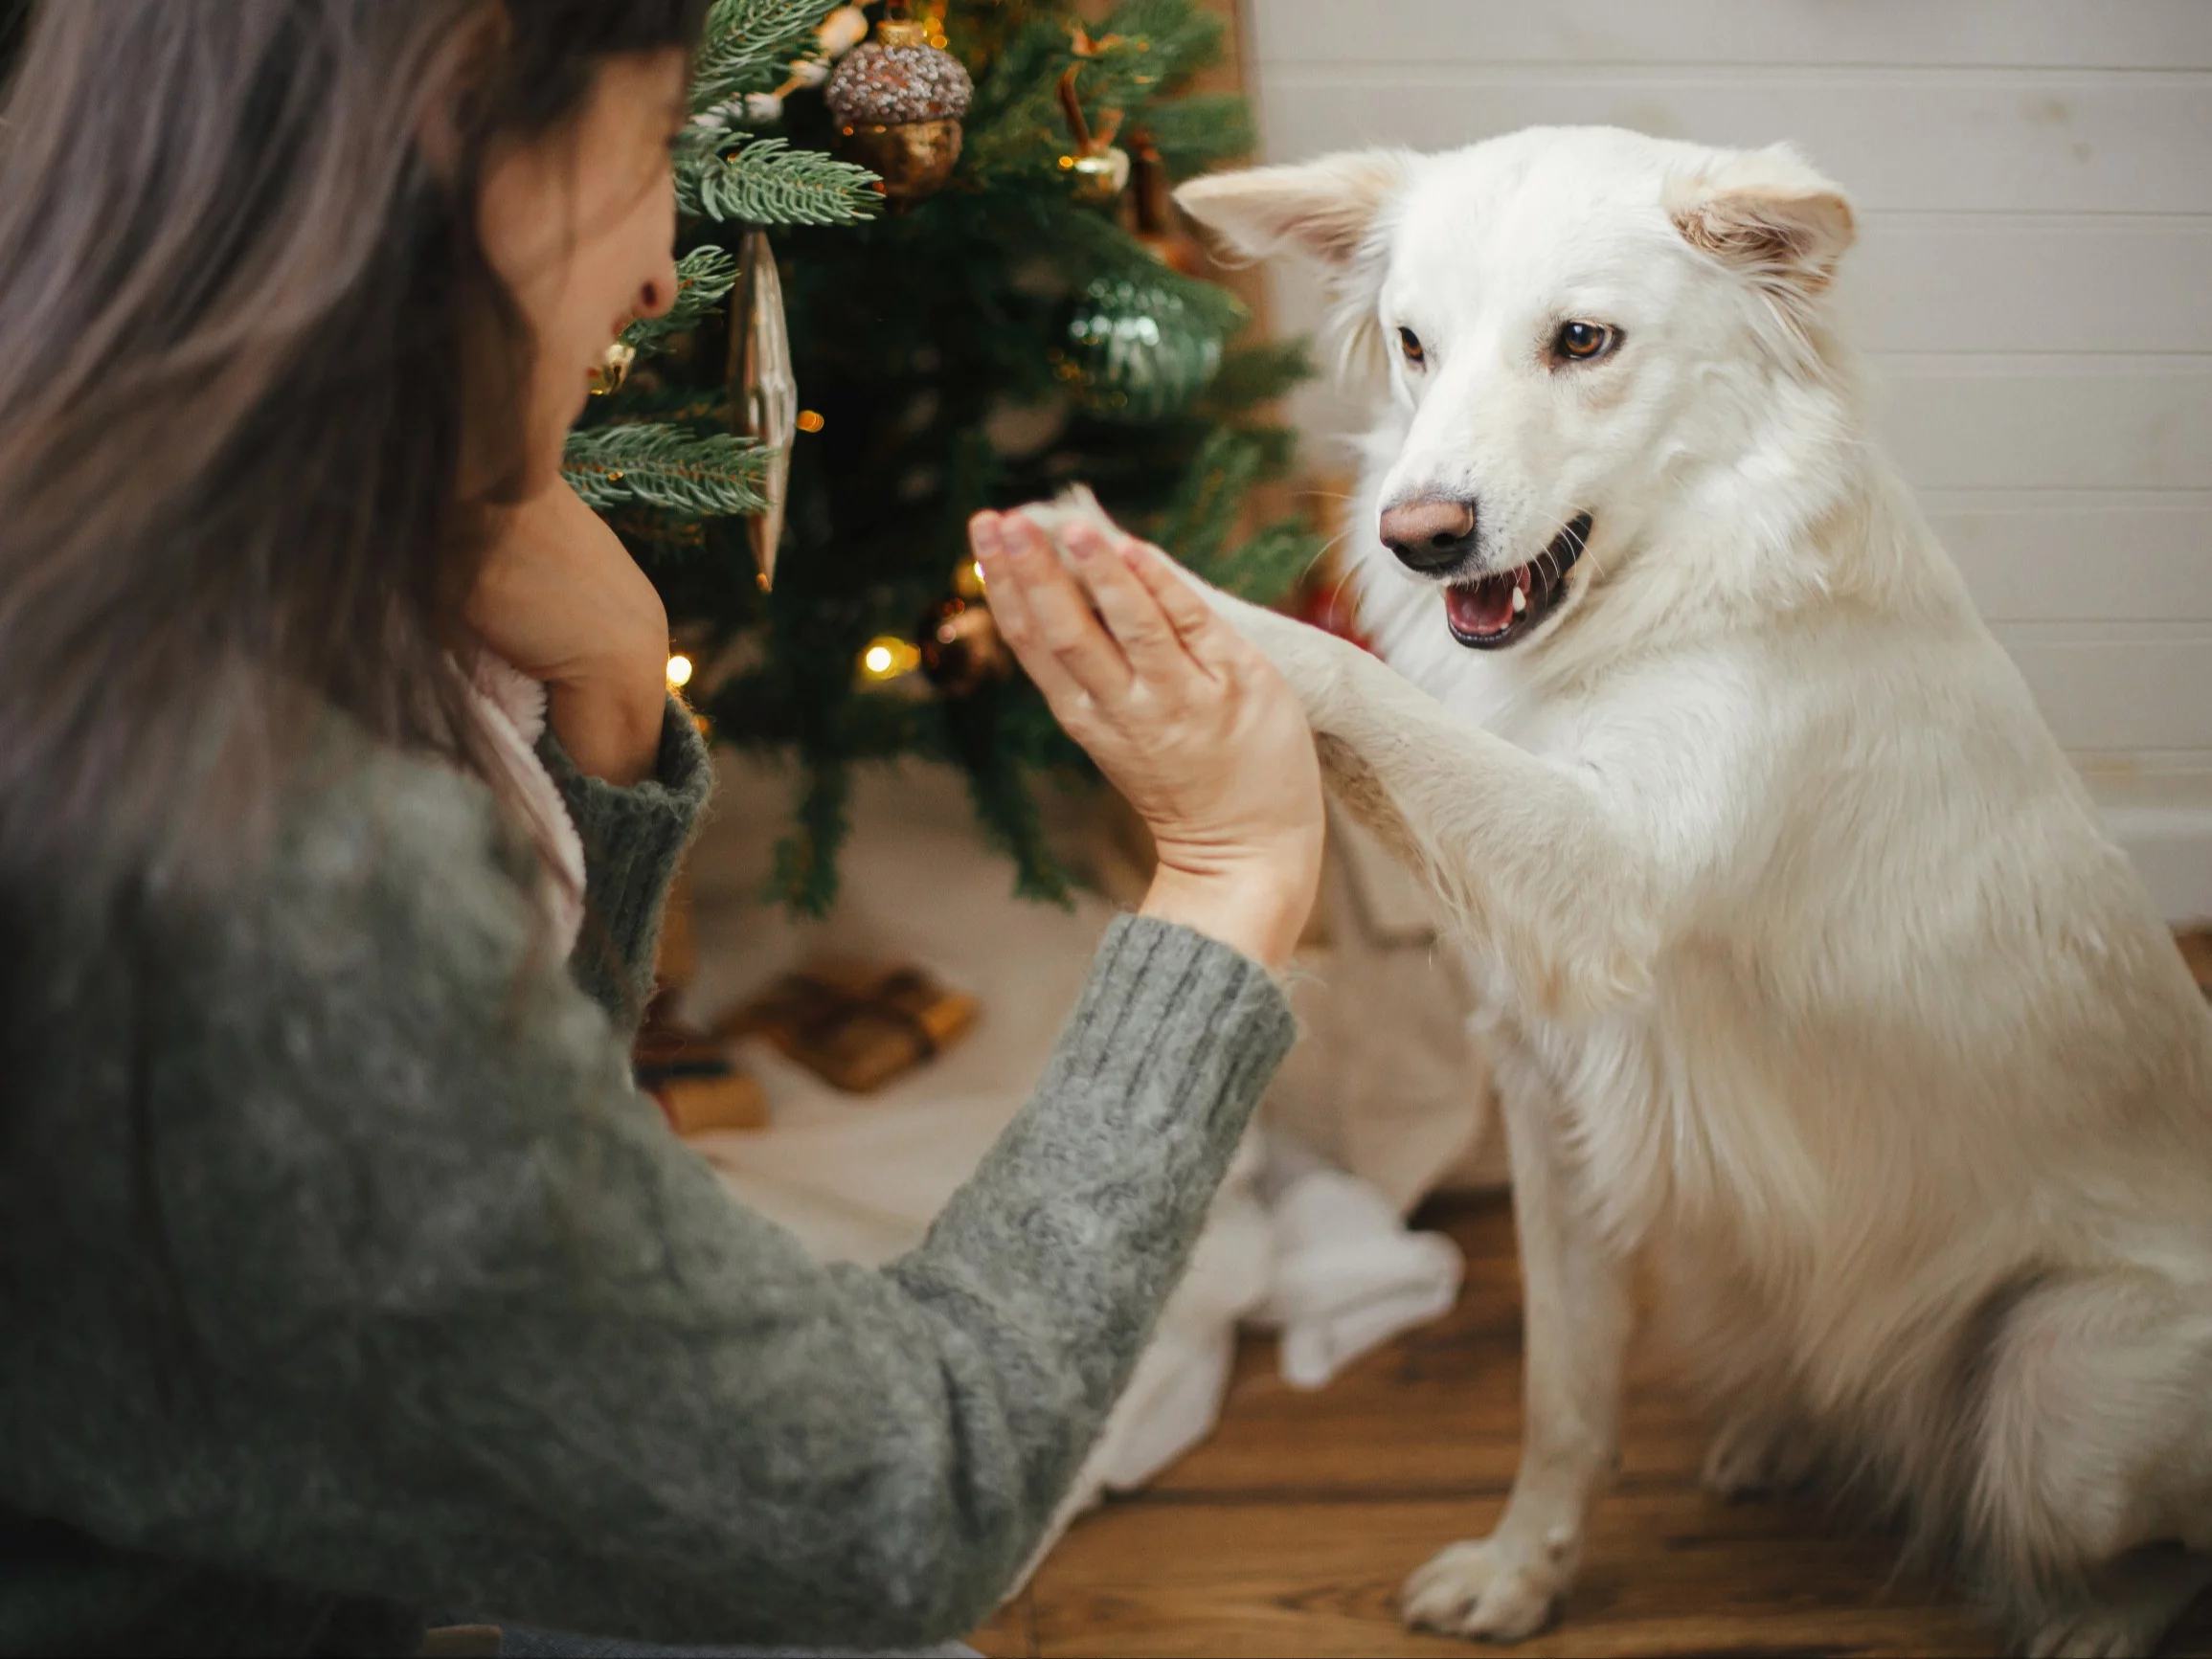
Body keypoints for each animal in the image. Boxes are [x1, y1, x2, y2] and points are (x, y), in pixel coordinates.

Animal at [1159, 129, 2212, 1659]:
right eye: (1414, 345)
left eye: (1581, 342)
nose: (1419, 535)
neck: (1659, 604)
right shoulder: (1547, 1089)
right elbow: (1563, 1390)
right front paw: (1524, 1568)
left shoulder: (1603, 881)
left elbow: (1359, 686)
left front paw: (1167, 594)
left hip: (2058, 1394)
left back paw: (2091, 1615)